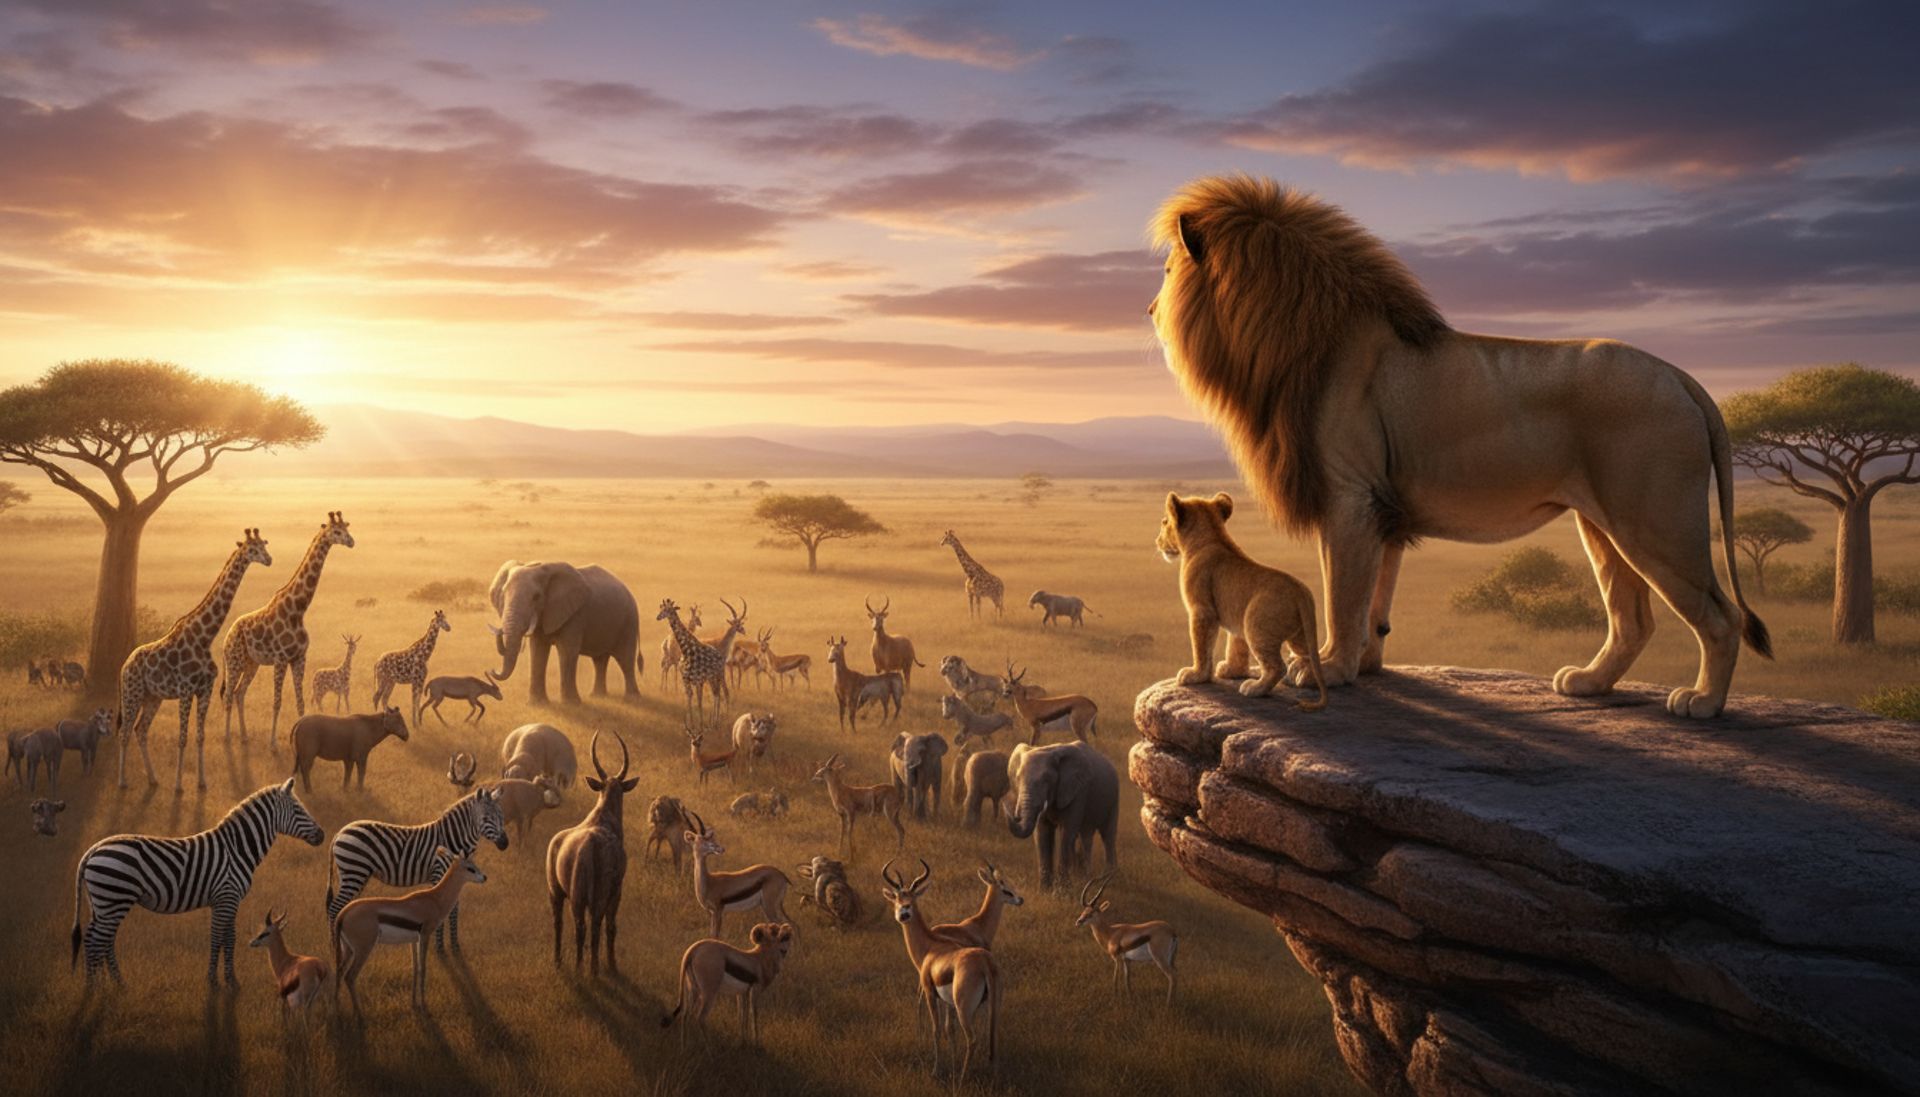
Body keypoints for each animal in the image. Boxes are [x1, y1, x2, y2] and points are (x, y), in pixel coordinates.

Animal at [1157, 491, 1326, 711]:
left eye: (1164, 522)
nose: (1157, 542)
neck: (1211, 537)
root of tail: (1301, 592)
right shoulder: (1237, 616)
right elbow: (1236, 645)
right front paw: (1231, 671)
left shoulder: (1202, 611)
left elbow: (1201, 646)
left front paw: (1196, 675)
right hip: (1298, 635)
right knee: (1310, 655)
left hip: (1256, 625)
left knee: (1277, 666)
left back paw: (1255, 688)